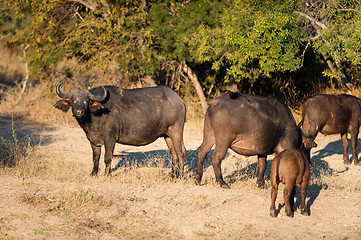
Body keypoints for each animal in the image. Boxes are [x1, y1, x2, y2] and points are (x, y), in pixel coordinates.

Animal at [55, 83, 188, 177]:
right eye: (73, 100)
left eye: (87, 101)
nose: (79, 112)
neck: (94, 116)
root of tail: (179, 100)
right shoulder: (93, 140)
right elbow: (95, 158)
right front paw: (93, 173)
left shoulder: (110, 138)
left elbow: (108, 157)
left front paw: (107, 174)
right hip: (167, 135)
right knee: (173, 153)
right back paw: (172, 175)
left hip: (176, 131)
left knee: (181, 152)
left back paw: (180, 175)